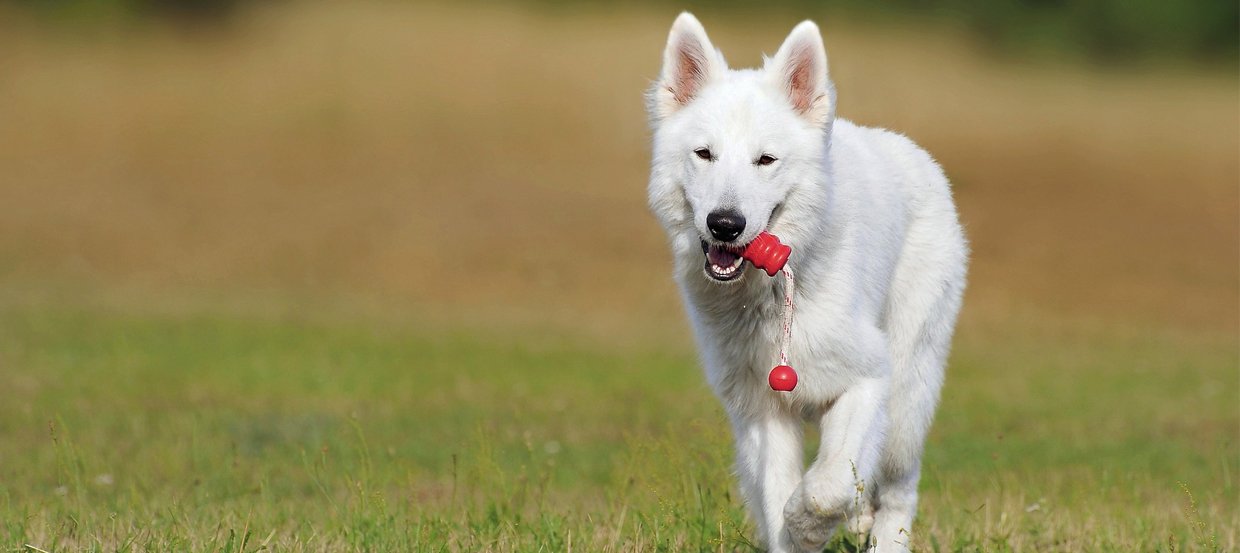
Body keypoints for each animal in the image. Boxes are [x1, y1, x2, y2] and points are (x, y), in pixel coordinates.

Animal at [644, 12, 972, 553]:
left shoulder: (867, 380)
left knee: (898, 490)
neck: (775, 294)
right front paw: (799, 528)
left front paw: (808, 523)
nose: (725, 225)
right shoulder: (762, 411)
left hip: (907, 398)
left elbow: (824, 488)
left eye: (766, 160)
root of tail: (913, 152)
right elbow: (780, 493)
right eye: (704, 154)